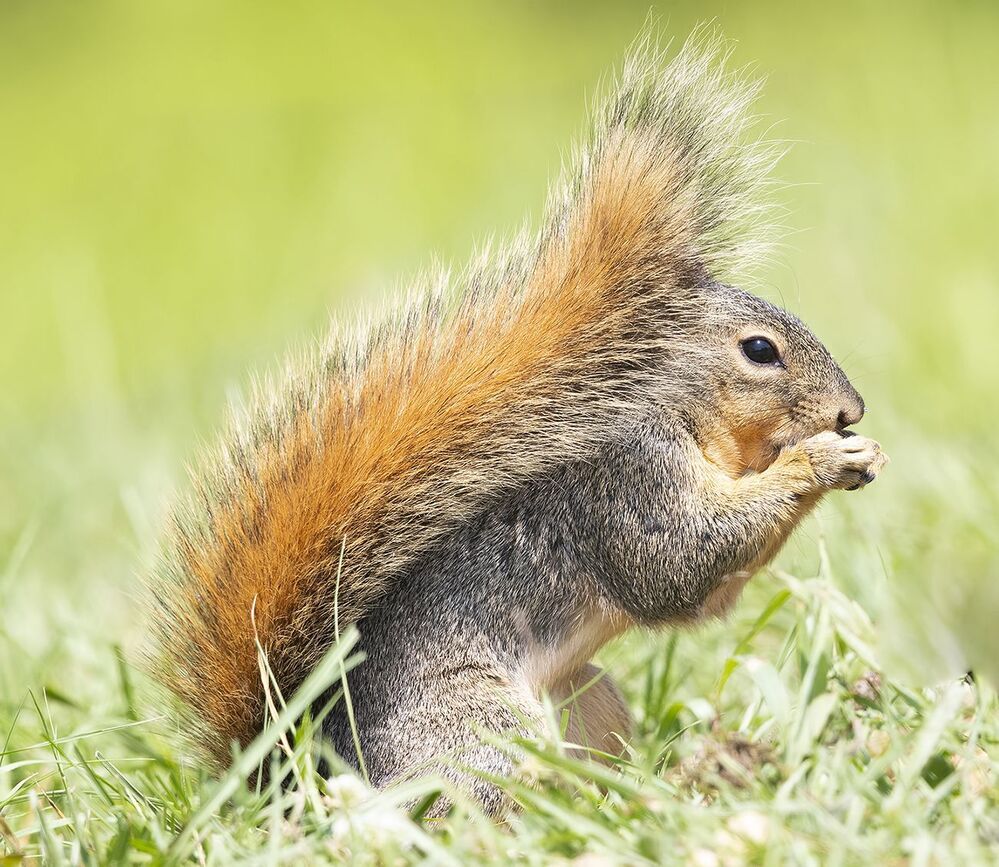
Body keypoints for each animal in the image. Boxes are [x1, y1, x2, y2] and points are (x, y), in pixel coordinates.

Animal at [150, 35, 888, 815]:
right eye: (759, 351)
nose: (850, 411)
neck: (683, 420)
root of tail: (297, 778)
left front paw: (856, 453)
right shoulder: (624, 483)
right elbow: (680, 562)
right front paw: (818, 460)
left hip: (589, 700)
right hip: (479, 736)